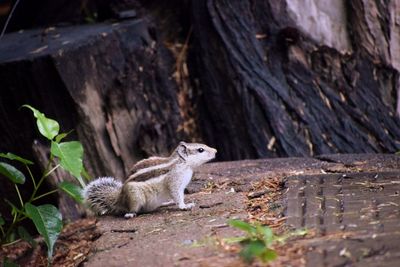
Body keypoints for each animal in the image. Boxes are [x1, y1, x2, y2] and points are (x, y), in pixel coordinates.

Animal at [82, 141, 217, 219]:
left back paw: (166, 203)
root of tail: (120, 198)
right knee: (133, 209)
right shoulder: (174, 182)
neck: (182, 163)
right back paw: (130, 214)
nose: (216, 151)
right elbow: (177, 196)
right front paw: (184, 206)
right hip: (135, 196)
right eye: (200, 150)